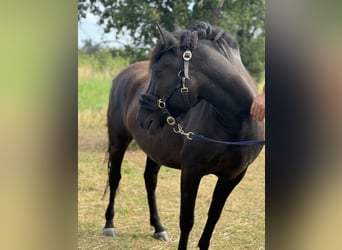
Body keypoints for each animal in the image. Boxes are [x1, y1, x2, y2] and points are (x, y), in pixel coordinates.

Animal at [103, 22, 264, 250]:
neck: (235, 122)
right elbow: (187, 220)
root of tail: (123, 74)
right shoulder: (191, 171)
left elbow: (213, 217)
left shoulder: (232, 177)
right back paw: (109, 224)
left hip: (155, 149)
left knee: (150, 180)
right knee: (115, 177)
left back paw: (159, 228)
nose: (142, 117)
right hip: (118, 141)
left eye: (158, 71)